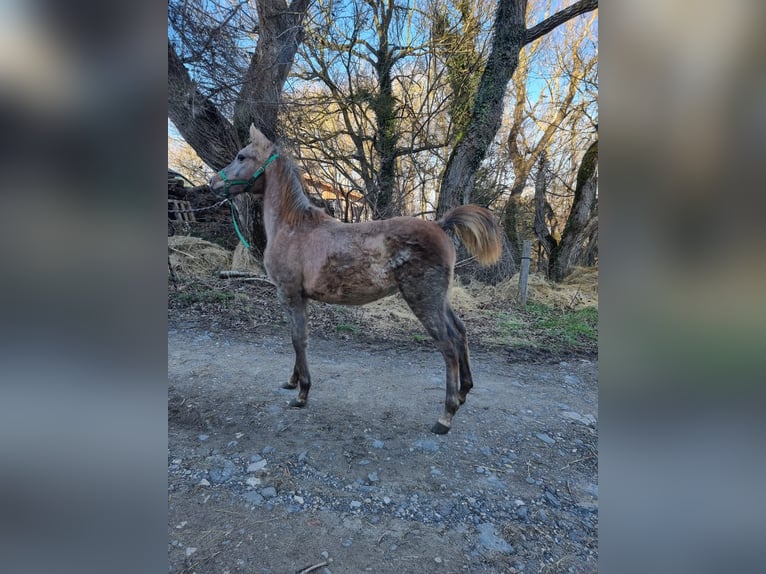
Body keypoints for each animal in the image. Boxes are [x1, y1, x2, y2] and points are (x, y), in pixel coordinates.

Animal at [213, 124, 508, 434]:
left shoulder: (290, 294)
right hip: (440, 300)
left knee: (449, 346)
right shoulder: (298, 298)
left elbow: (298, 339)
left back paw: (445, 416)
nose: (213, 183)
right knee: (460, 332)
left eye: (241, 156)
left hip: (423, 300)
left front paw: (302, 393)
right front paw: (292, 382)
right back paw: (463, 393)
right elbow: (298, 337)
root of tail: (441, 226)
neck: (293, 227)